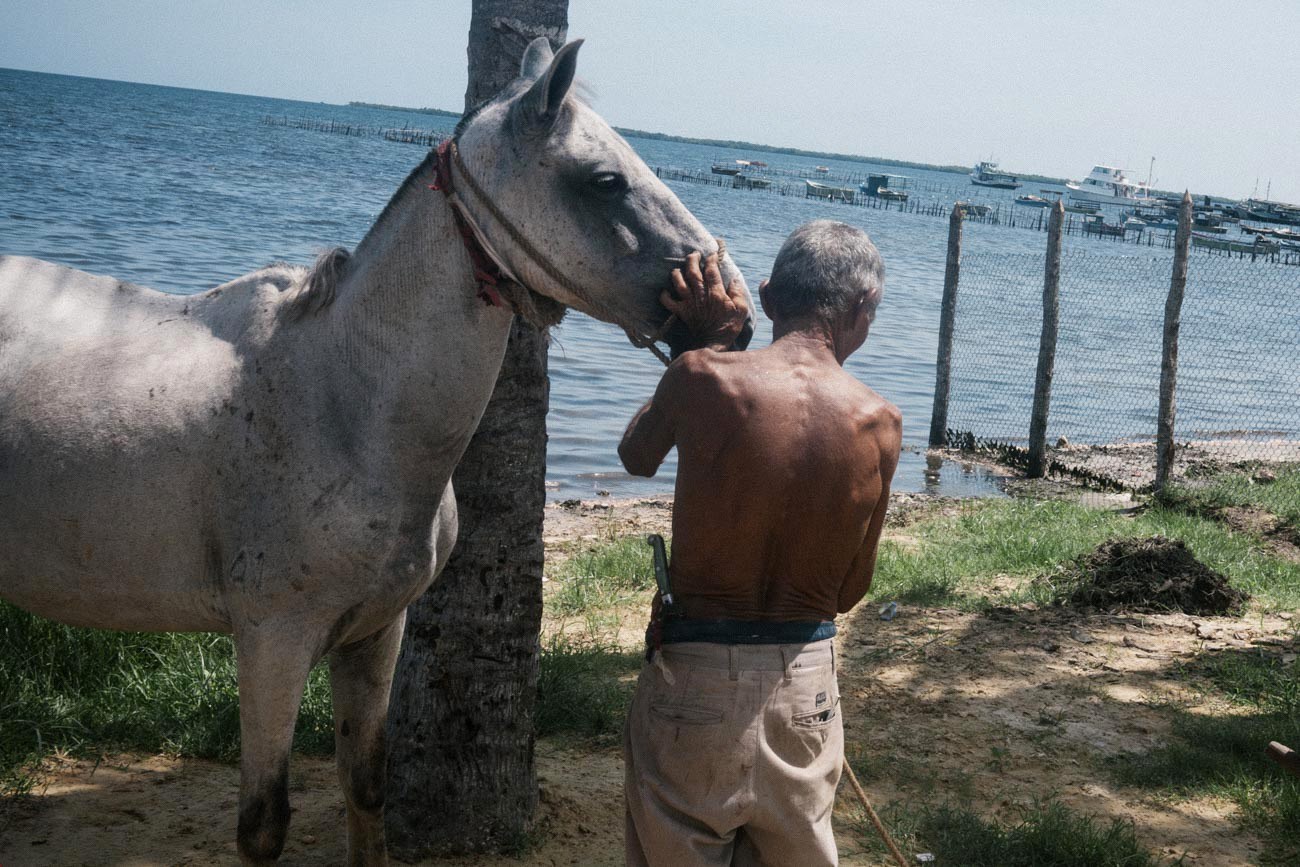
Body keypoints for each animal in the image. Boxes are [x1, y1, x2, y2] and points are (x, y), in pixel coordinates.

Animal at [0, 42, 754, 867]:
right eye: (606, 180)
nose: (736, 311)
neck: (342, 399)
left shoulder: (373, 633)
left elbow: (366, 784)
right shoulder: (272, 641)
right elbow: (263, 822)